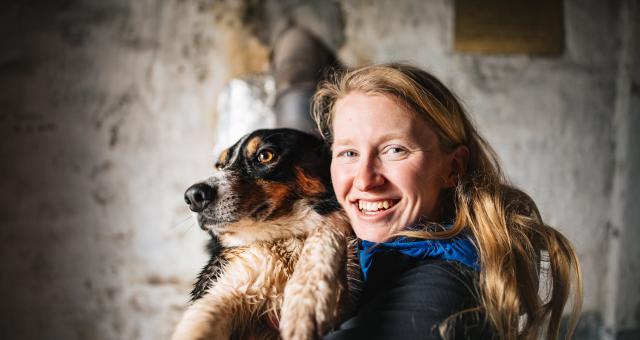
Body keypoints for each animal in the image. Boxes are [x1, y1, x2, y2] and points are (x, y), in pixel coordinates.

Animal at [170, 128, 360, 340]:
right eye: (219, 166)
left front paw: (306, 300)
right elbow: (199, 323)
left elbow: (324, 233)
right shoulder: (229, 287)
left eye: (265, 155)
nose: (193, 196)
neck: (281, 236)